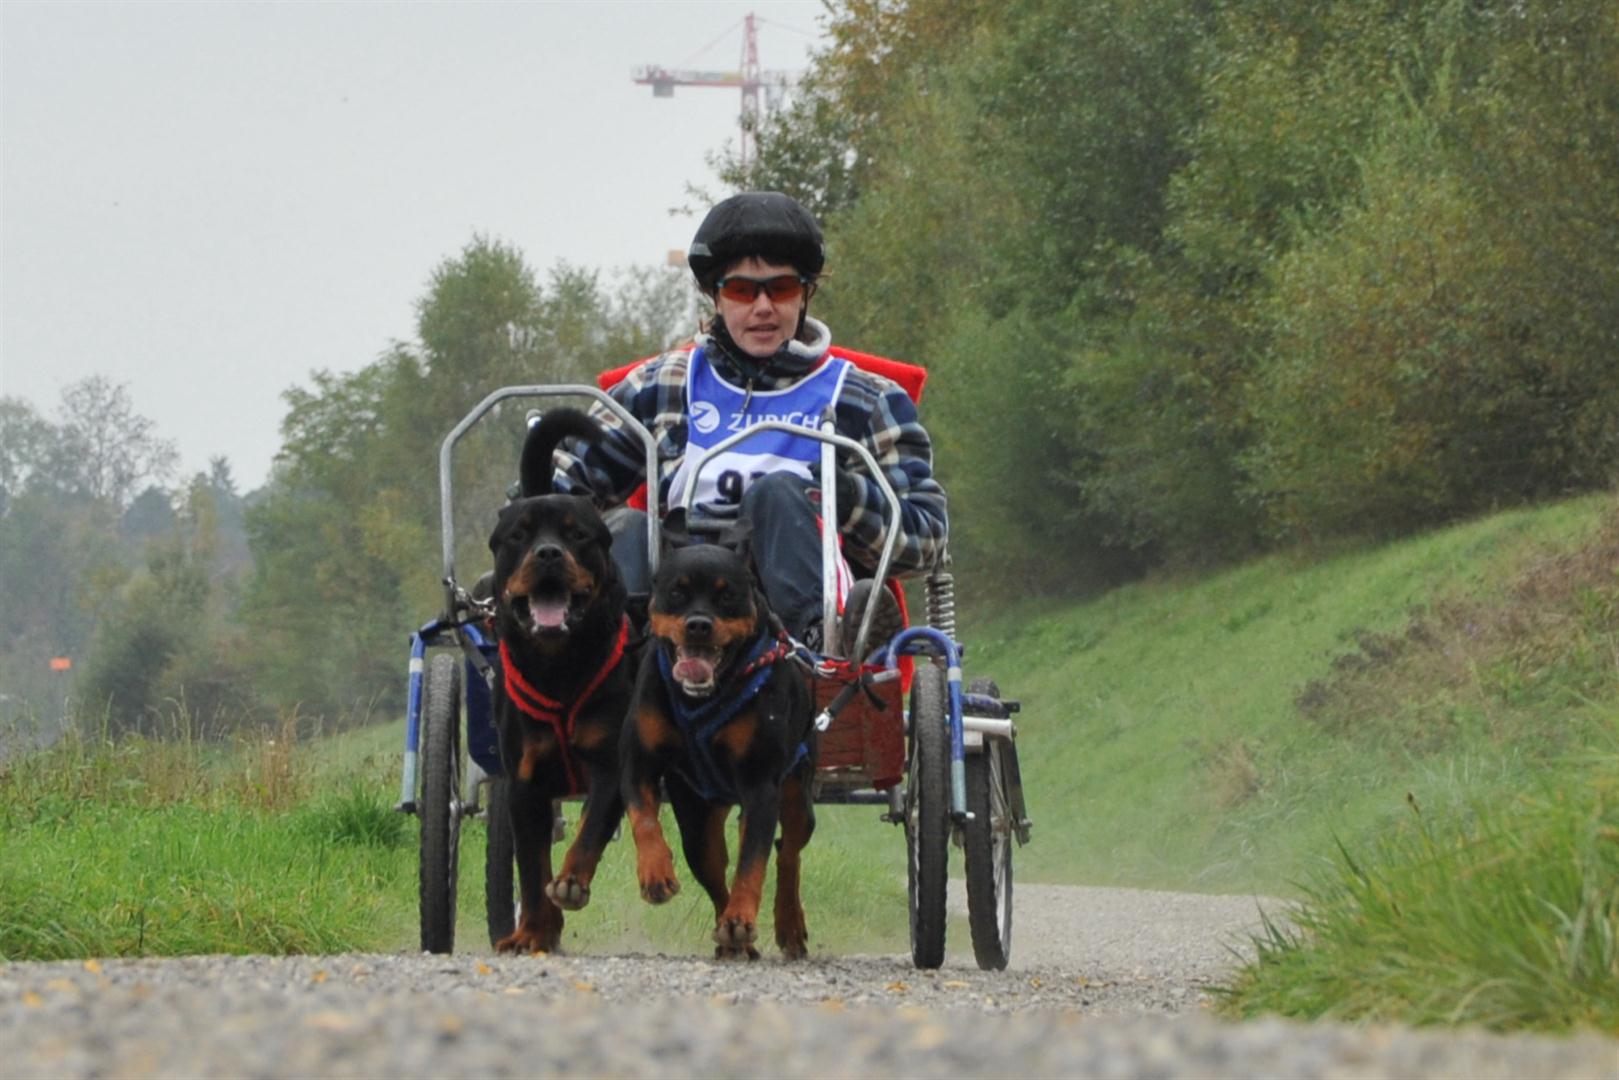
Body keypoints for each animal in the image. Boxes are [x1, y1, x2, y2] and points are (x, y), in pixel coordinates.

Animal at [487, 407, 639, 954]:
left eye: (577, 535)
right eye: (519, 535)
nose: (548, 553)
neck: (560, 672)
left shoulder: (613, 766)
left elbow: (589, 830)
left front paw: (572, 881)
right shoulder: (524, 782)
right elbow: (532, 869)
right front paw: (532, 931)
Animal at [620, 537, 817, 960]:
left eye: (728, 596)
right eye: (676, 592)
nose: (698, 624)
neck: (702, 698)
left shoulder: (761, 786)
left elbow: (752, 864)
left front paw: (741, 918)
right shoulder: (637, 762)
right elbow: (643, 817)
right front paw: (655, 873)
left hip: (796, 791)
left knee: (787, 851)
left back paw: (786, 926)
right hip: (697, 819)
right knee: (713, 871)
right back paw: (733, 940)